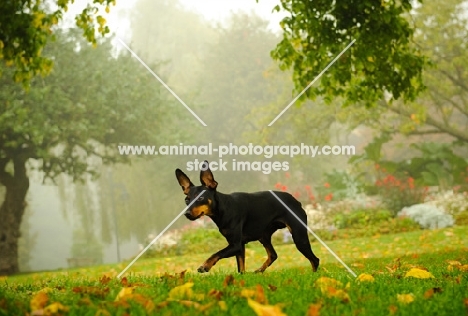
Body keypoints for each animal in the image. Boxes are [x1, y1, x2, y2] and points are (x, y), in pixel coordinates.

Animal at [174, 162, 320, 272]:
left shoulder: (236, 245)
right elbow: (241, 269)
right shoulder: (239, 246)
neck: (225, 208)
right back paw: (259, 271)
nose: (187, 214)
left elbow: (217, 253)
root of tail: (296, 201)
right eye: (187, 200)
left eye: (201, 198)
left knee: (315, 260)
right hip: (264, 236)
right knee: (273, 255)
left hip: (298, 236)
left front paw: (205, 266)